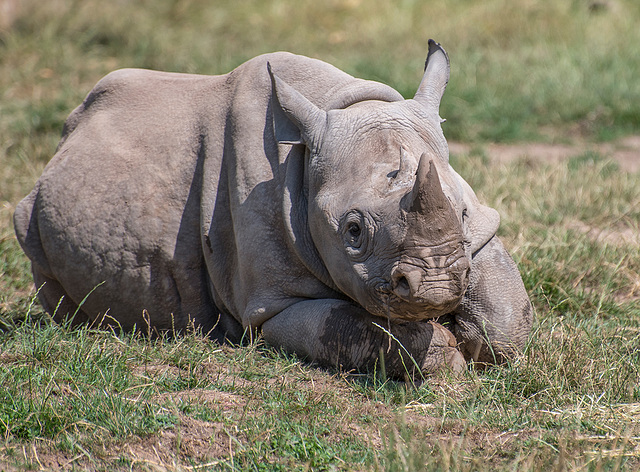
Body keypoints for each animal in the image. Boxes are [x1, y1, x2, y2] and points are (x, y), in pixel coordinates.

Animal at [16, 41, 536, 380]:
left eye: (463, 213)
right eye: (353, 231)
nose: (435, 288)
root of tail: (70, 132)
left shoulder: (475, 233)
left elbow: (506, 318)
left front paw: (475, 338)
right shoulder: (270, 302)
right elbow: (357, 328)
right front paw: (447, 357)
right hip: (35, 214)